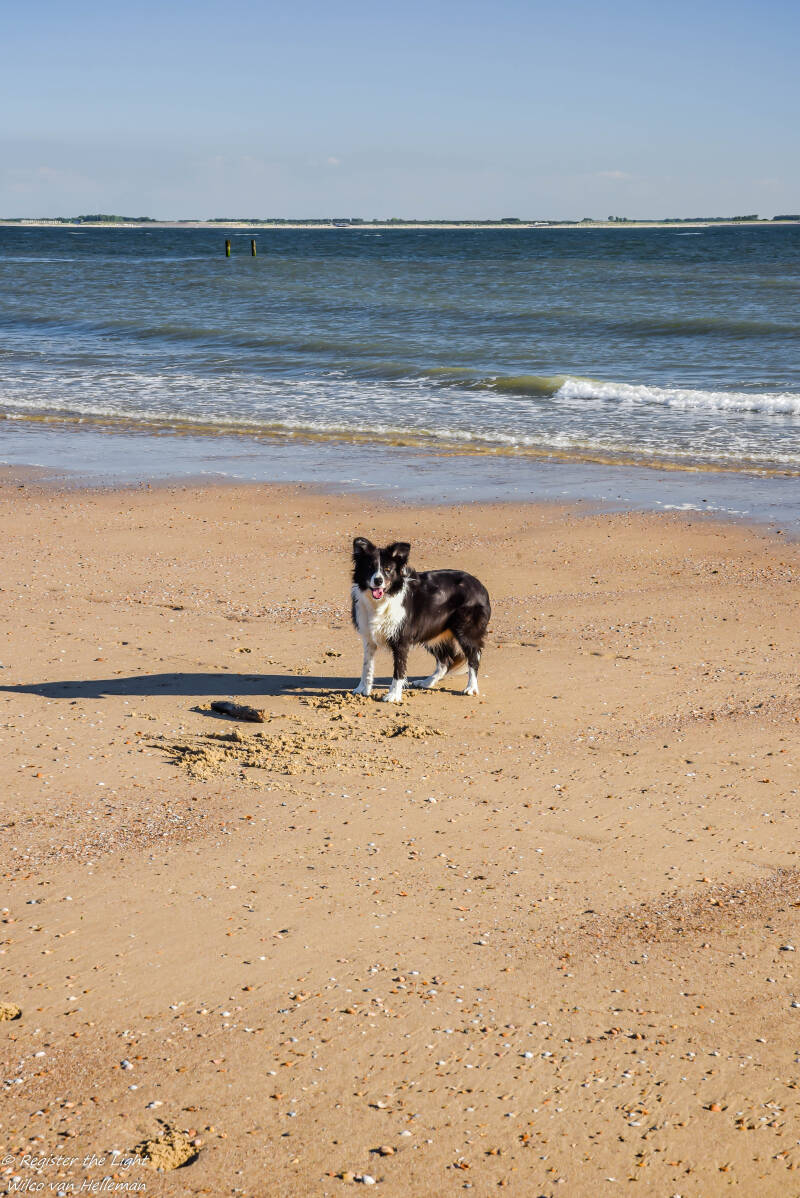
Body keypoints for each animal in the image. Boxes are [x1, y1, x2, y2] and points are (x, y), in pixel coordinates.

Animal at [350, 537, 491, 703]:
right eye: (370, 568)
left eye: (388, 569)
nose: (378, 580)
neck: (383, 600)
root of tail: (479, 585)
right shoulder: (369, 638)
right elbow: (366, 666)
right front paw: (362, 689)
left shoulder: (401, 640)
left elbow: (399, 670)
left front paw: (393, 695)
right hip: (432, 633)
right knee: (445, 661)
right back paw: (427, 682)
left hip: (465, 631)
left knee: (474, 657)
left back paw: (471, 687)